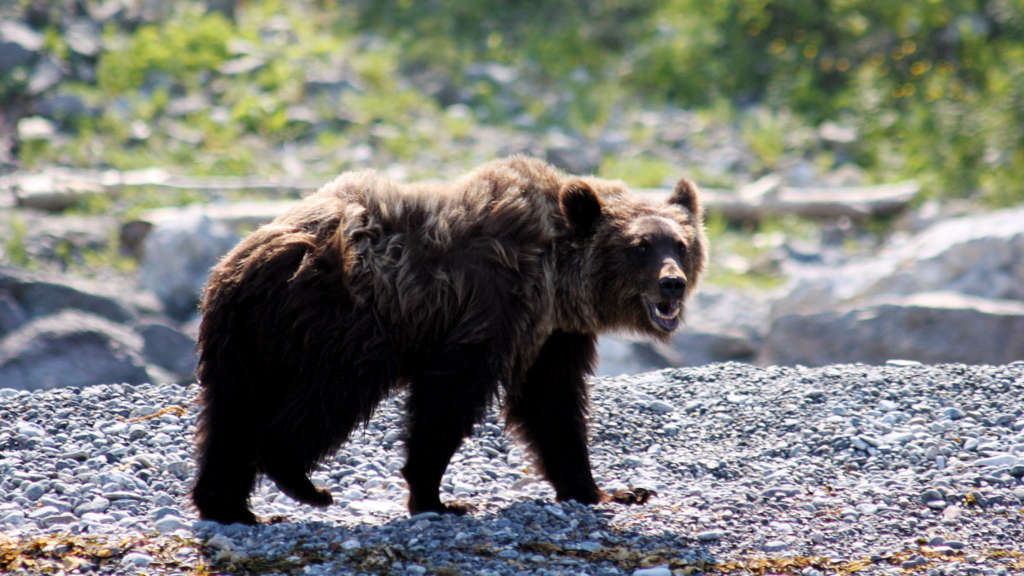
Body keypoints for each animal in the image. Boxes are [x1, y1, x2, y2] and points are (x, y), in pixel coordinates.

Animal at [191, 156, 707, 525]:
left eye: (681, 243)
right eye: (640, 246)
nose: (672, 283)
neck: (558, 278)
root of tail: (240, 263)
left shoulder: (556, 334)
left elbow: (553, 405)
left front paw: (608, 489)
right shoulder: (494, 303)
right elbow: (451, 393)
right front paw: (436, 497)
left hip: (243, 344)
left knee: (230, 414)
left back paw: (229, 506)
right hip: (340, 320)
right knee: (333, 394)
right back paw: (300, 480)